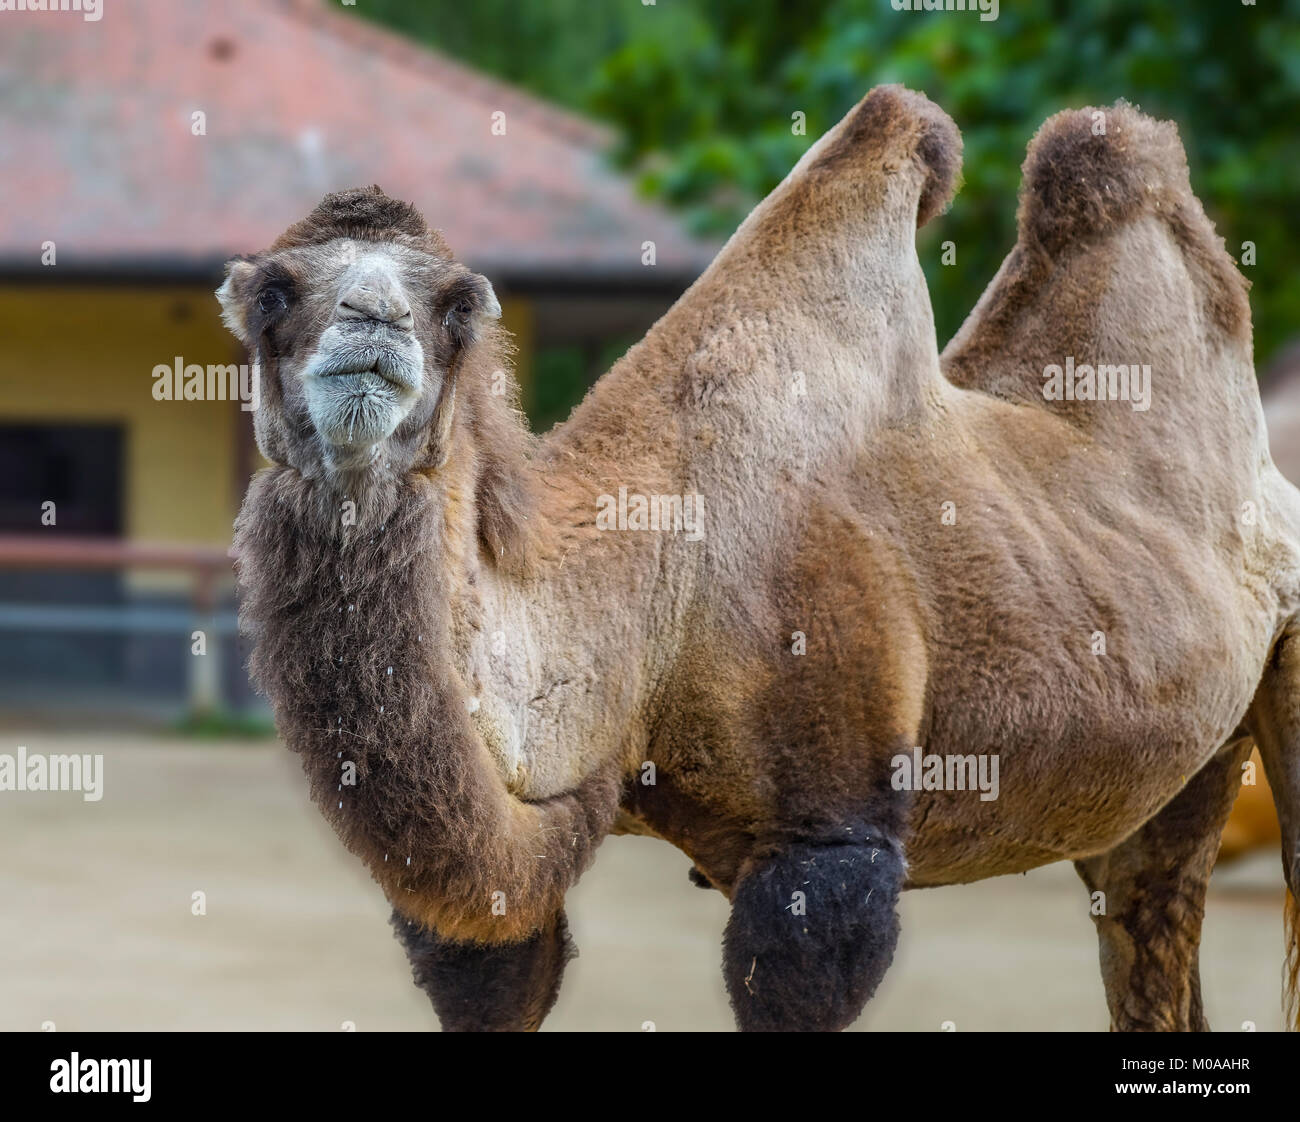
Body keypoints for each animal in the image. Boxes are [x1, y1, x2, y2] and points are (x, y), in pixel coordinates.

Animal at [222, 86, 1300, 1031]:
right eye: (274, 290)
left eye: (450, 306)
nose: (372, 327)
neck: (656, 596)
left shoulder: (829, 842)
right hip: (1168, 776)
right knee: (1148, 911)